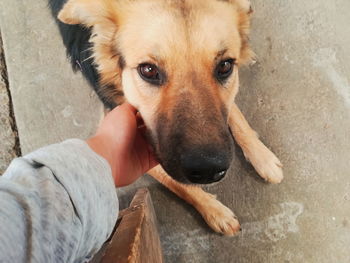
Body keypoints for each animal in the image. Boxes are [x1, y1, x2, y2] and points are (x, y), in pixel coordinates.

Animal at [56, 0, 284, 237]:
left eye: (225, 66)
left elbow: (238, 118)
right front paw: (215, 211)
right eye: (148, 70)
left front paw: (263, 157)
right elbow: (180, 185)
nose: (208, 170)